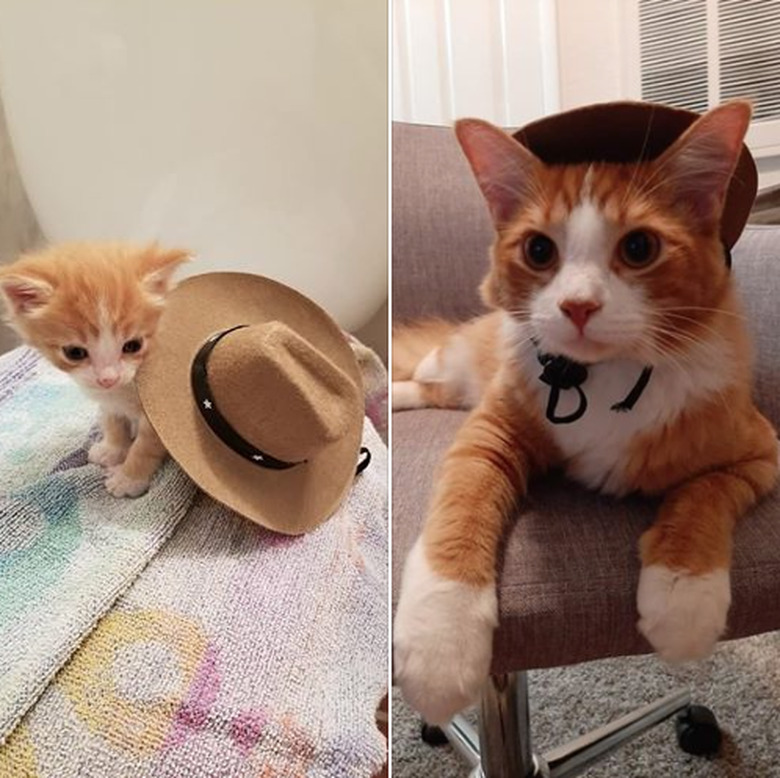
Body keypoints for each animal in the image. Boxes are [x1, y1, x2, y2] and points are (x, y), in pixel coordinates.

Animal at [0, 242, 188, 494]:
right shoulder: (108, 398)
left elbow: (146, 446)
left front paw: (128, 478)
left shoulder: (163, 407)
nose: (108, 379)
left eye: (133, 345)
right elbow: (112, 419)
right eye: (74, 352)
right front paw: (113, 449)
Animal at [396, 101, 780, 720]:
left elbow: (703, 495)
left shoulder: (759, 452)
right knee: (418, 376)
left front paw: (683, 597)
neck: (604, 378)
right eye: (539, 251)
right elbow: (461, 507)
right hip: (451, 363)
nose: (578, 306)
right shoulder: (489, 433)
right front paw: (441, 639)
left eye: (640, 248)